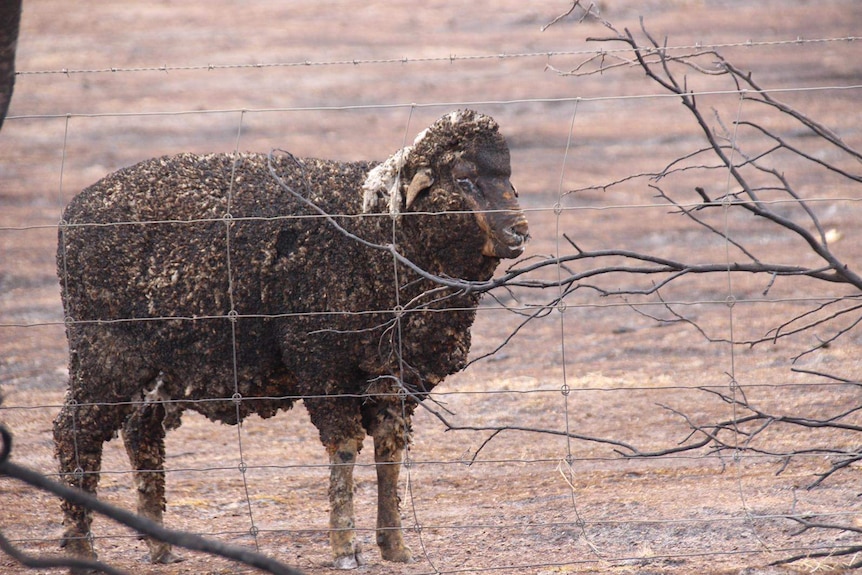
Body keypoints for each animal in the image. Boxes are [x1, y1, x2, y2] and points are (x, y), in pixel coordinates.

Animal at [54, 109, 528, 572]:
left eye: (507, 177)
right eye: (464, 178)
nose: (519, 232)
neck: (379, 233)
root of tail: (72, 212)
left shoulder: (394, 377)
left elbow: (390, 451)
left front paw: (394, 546)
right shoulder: (324, 365)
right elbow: (344, 450)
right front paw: (345, 548)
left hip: (155, 367)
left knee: (141, 434)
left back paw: (159, 546)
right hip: (105, 354)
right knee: (74, 433)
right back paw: (80, 547)